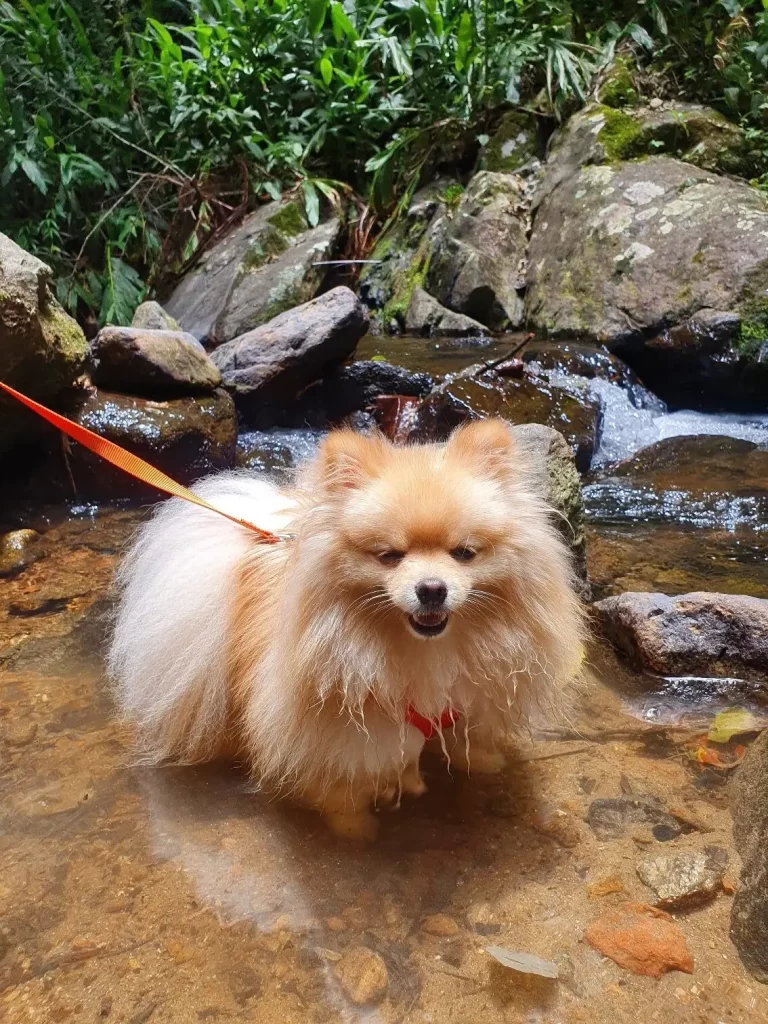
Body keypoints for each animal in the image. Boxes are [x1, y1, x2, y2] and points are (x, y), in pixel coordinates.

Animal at [109, 417, 581, 839]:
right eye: (389, 555)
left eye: (464, 553)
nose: (431, 589)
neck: (423, 651)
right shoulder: (336, 738)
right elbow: (341, 794)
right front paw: (357, 834)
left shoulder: (468, 700)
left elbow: (472, 743)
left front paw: (485, 766)